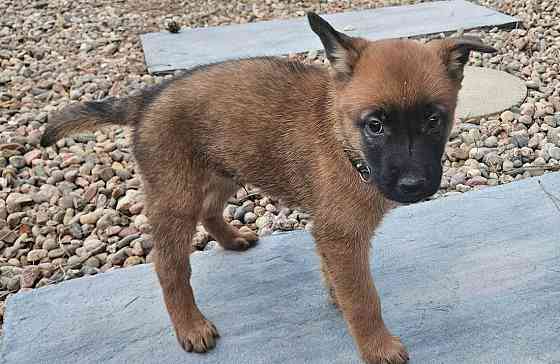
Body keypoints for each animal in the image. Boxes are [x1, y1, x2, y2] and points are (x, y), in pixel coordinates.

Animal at [38, 12, 494, 362]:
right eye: (376, 125)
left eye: (434, 119)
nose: (415, 186)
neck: (346, 144)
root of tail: (148, 97)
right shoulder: (342, 235)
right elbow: (364, 299)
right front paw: (377, 346)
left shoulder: (329, 232)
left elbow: (339, 279)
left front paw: (336, 295)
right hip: (176, 197)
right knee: (170, 267)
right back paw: (191, 325)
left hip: (225, 171)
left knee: (210, 210)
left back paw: (233, 239)